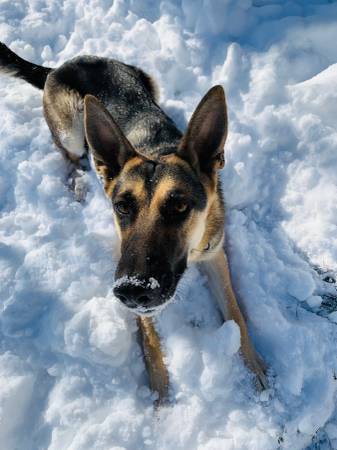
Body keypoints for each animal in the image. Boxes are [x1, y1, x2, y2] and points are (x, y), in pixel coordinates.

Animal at [0, 42, 268, 404]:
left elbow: (236, 315)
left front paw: (255, 368)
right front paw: (161, 401)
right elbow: (151, 341)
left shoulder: (214, 255)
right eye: (122, 206)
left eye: (179, 205)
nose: (130, 290)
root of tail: (60, 65)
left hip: (148, 81)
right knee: (70, 157)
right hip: (71, 131)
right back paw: (79, 185)